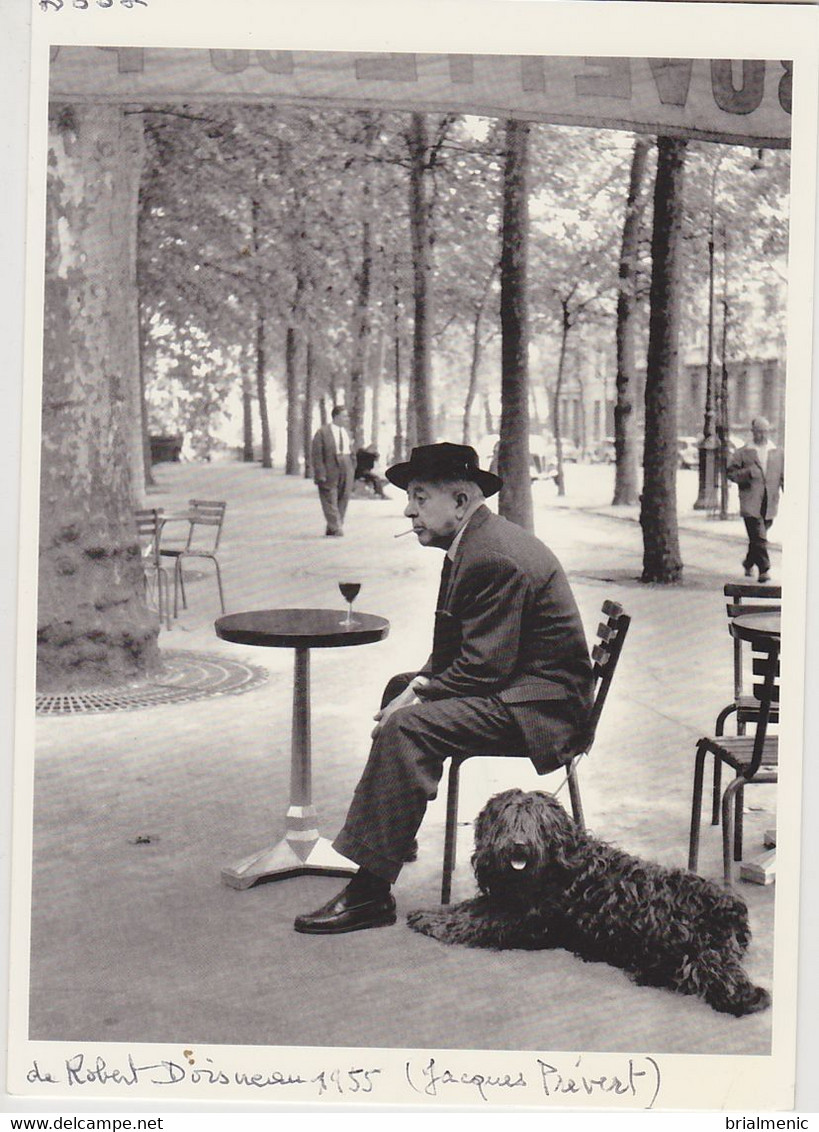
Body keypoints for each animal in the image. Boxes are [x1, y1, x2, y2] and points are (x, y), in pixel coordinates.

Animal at [407, 787, 770, 1018]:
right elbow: (464, 908)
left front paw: (435, 924)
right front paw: (429, 912)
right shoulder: (505, 903)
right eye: (507, 821)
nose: (520, 845)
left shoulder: (525, 922)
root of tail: (731, 911)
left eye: (535, 823)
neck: (557, 867)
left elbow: (473, 922)